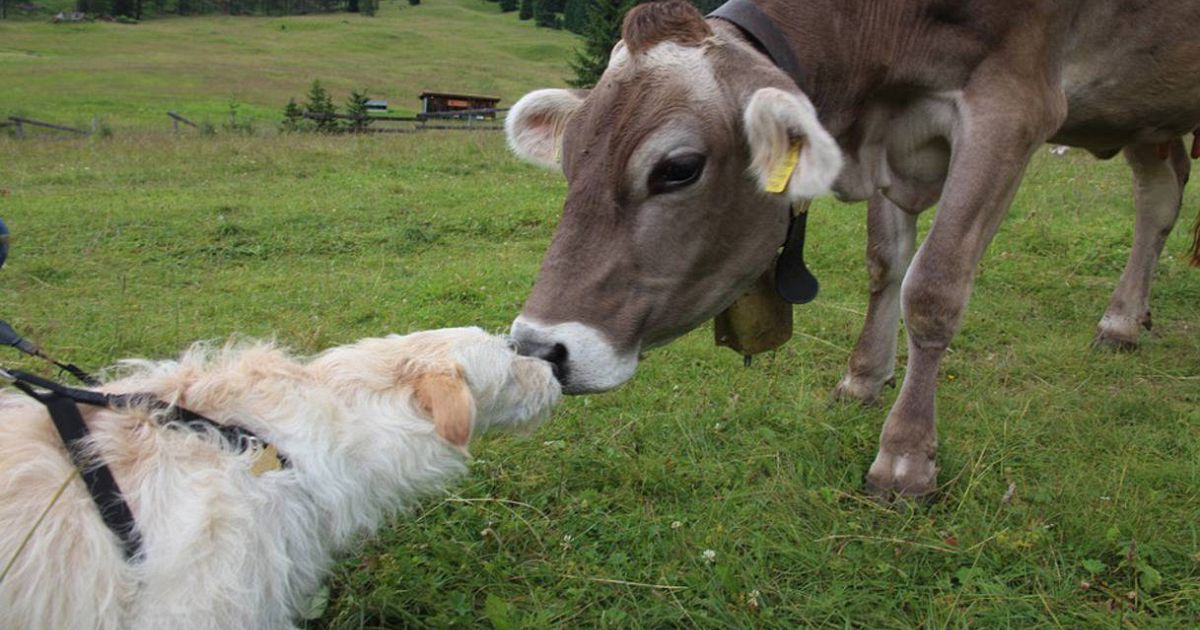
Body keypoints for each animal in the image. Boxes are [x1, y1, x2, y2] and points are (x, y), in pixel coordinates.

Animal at [504, 0, 1200, 498]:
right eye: (569, 160)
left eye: (678, 168)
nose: (540, 350)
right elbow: (884, 264)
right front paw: (864, 378)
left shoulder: (1012, 105)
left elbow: (934, 287)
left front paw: (905, 458)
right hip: (1149, 113)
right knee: (1160, 195)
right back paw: (1125, 319)